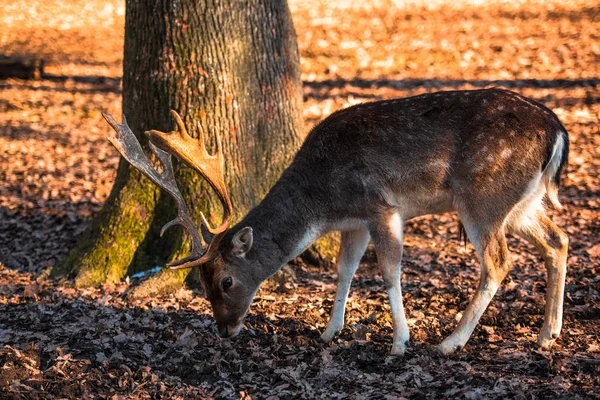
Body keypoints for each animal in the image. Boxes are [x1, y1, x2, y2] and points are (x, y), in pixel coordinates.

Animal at [103, 86, 568, 354]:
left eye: (226, 281)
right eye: (200, 284)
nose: (224, 329)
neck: (323, 204)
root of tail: (558, 132)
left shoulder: (381, 206)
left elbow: (389, 272)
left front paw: (400, 342)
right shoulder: (354, 222)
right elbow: (344, 271)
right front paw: (329, 332)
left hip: (482, 195)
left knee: (499, 261)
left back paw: (450, 343)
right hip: (524, 202)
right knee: (558, 240)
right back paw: (549, 333)